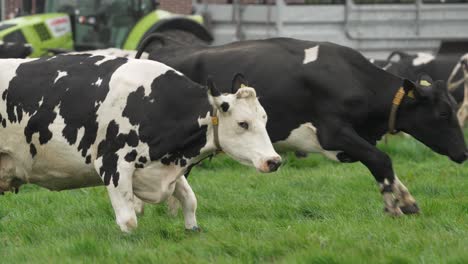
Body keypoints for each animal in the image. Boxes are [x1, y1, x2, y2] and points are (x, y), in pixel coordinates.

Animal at [0, 54, 282, 232]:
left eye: (265, 118)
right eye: (243, 123)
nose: (274, 161)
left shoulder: (168, 164)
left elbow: (189, 201)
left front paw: (192, 228)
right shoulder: (113, 164)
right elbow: (129, 221)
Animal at [140, 36, 468, 217]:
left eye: (454, 108)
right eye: (442, 113)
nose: (464, 153)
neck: (351, 77)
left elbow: (382, 164)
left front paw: (407, 200)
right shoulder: (333, 133)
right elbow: (381, 160)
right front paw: (393, 206)